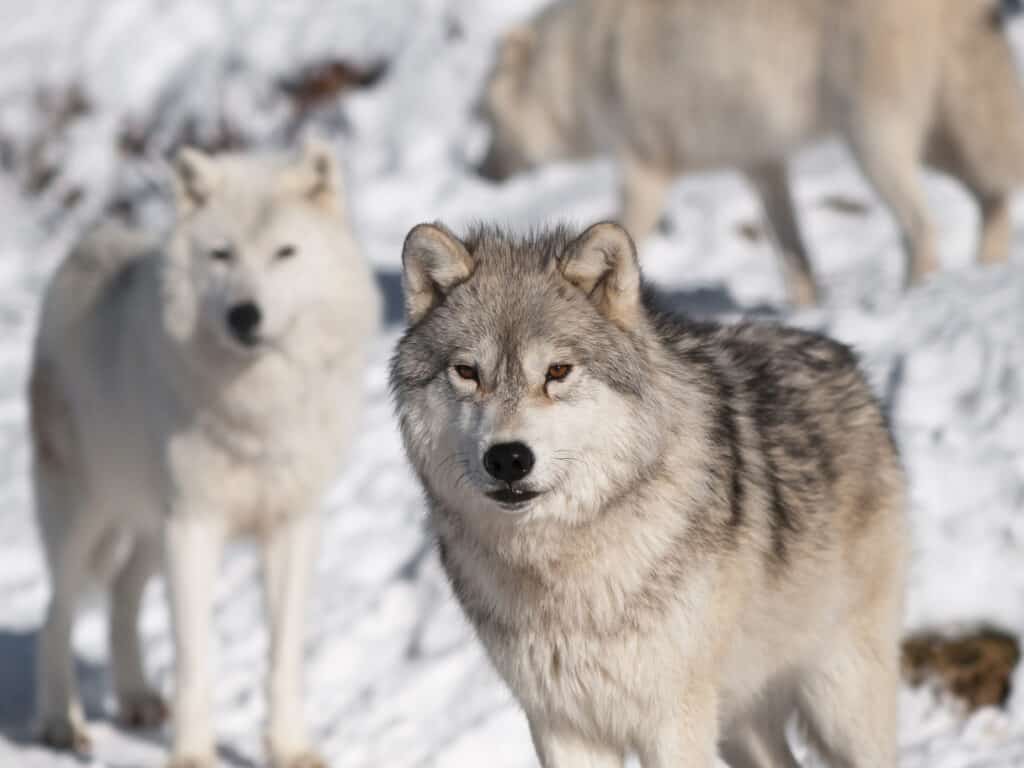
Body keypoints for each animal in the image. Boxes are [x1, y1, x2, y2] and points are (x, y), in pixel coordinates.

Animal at [30, 141, 380, 765]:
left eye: (285, 252)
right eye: (221, 254)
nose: (245, 314)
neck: (257, 409)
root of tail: (89, 245)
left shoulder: (291, 526)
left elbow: (283, 657)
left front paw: (288, 747)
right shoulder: (193, 527)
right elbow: (195, 657)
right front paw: (193, 754)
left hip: (147, 525)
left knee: (121, 593)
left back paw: (137, 699)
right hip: (84, 518)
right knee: (57, 614)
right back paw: (60, 725)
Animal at [389, 219, 905, 765]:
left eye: (557, 371)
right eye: (467, 372)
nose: (508, 458)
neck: (562, 573)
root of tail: (842, 356)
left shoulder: (672, 720)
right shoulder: (560, 724)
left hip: (840, 703)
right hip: (742, 723)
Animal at [475, 0, 1024, 307]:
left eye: (487, 117)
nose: (481, 171)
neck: (577, 65)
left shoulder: (645, 169)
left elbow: (624, 231)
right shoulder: (762, 165)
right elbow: (792, 250)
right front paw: (806, 309)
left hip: (874, 143)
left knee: (922, 226)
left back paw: (918, 292)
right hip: (941, 140)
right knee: (992, 196)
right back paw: (987, 271)